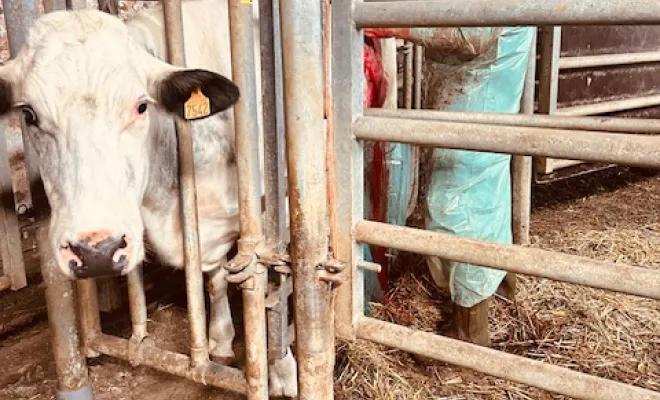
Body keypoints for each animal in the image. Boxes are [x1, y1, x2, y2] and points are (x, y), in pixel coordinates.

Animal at [0, 0, 296, 396]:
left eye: (142, 106)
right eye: (29, 114)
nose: (96, 252)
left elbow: (275, 284)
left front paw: (283, 371)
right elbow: (214, 279)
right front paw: (219, 339)